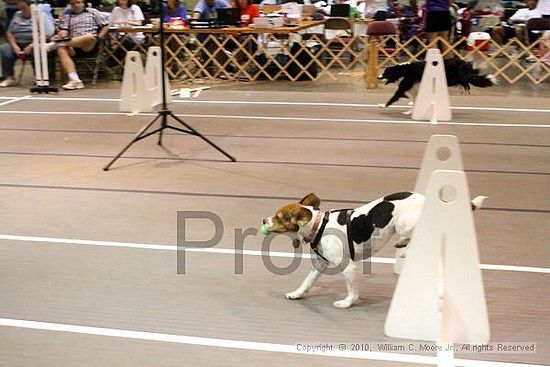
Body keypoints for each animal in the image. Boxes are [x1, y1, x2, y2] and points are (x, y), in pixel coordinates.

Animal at [264, 194, 488, 310]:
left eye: (278, 217)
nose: (263, 220)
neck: (319, 226)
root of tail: (427, 198)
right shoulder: (320, 264)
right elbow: (307, 282)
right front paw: (297, 294)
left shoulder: (348, 267)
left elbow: (352, 290)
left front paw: (348, 302)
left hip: (403, 222)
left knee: (414, 232)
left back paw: (404, 246)